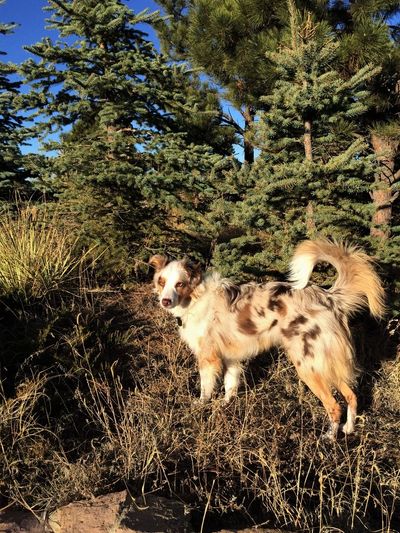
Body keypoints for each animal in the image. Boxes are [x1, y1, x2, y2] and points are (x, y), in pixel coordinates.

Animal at [149, 239, 384, 438]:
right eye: (161, 281)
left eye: (180, 284)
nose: (165, 301)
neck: (196, 297)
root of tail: (328, 297)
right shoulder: (231, 358)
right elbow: (230, 385)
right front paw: (225, 406)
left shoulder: (208, 358)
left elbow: (206, 388)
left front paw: (201, 406)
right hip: (325, 364)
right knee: (352, 396)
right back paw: (349, 429)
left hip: (308, 366)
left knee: (334, 405)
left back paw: (329, 437)